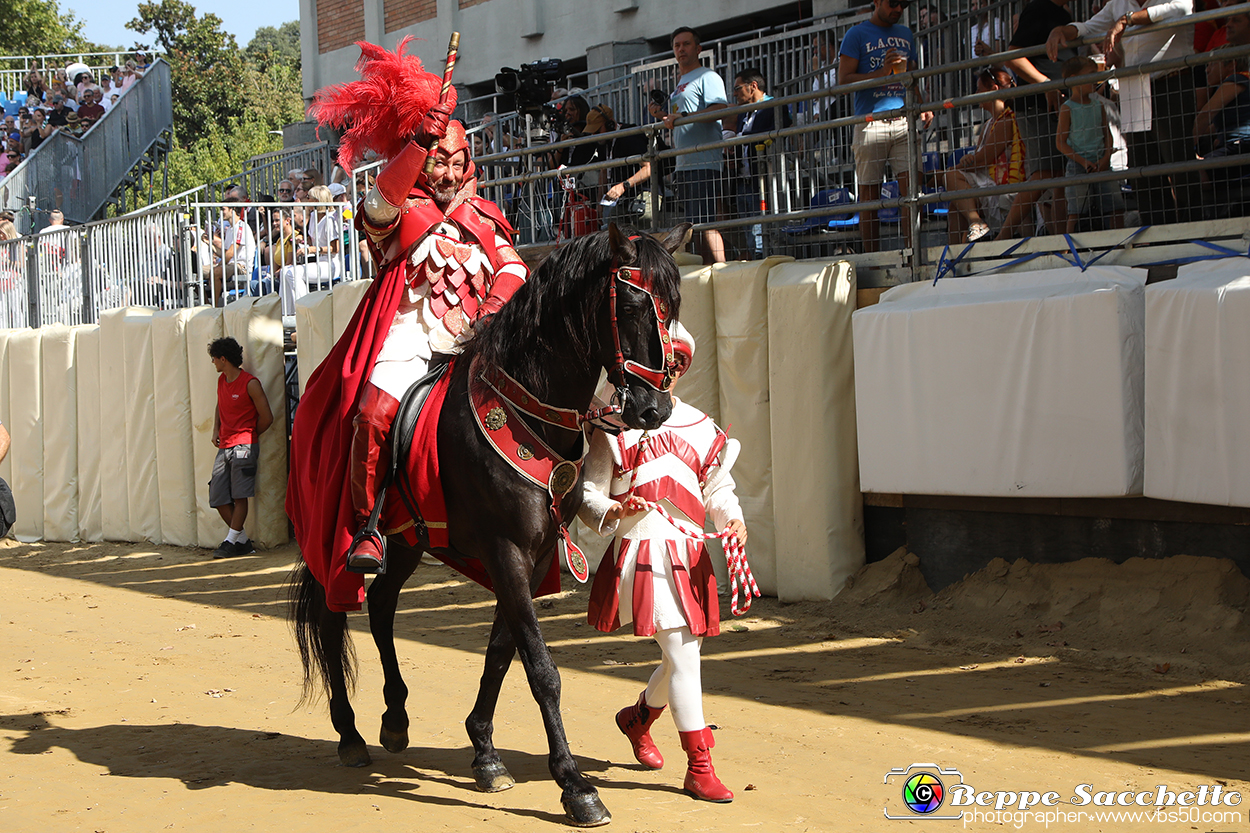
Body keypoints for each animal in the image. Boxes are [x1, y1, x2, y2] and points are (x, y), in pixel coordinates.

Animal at [287, 222, 690, 825]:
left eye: (675, 305)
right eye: (634, 305)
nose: (654, 410)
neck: (527, 407)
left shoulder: (533, 556)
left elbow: (503, 652)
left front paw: (484, 752)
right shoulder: (506, 552)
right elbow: (541, 669)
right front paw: (575, 786)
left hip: (406, 541)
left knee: (380, 607)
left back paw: (395, 718)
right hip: (334, 544)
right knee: (334, 619)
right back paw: (350, 733)